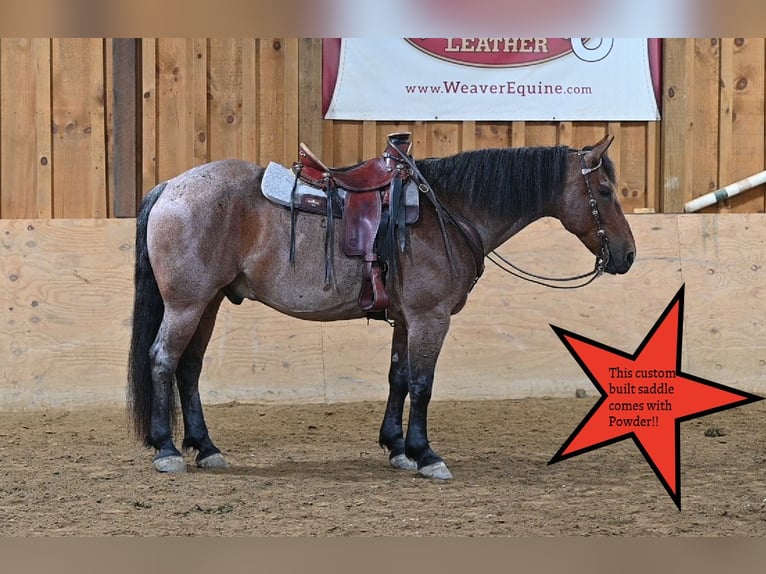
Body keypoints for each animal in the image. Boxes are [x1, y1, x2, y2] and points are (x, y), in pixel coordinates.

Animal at [127, 134, 635, 479]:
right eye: (604, 191)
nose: (628, 255)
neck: (447, 211)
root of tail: (170, 187)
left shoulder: (407, 320)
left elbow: (399, 378)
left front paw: (396, 448)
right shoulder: (431, 318)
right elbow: (423, 384)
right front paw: (426, 454)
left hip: (208, 302)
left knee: (189, 367)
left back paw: (205, 447)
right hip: (187, 304)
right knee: (163, 359)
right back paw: (167, 450)